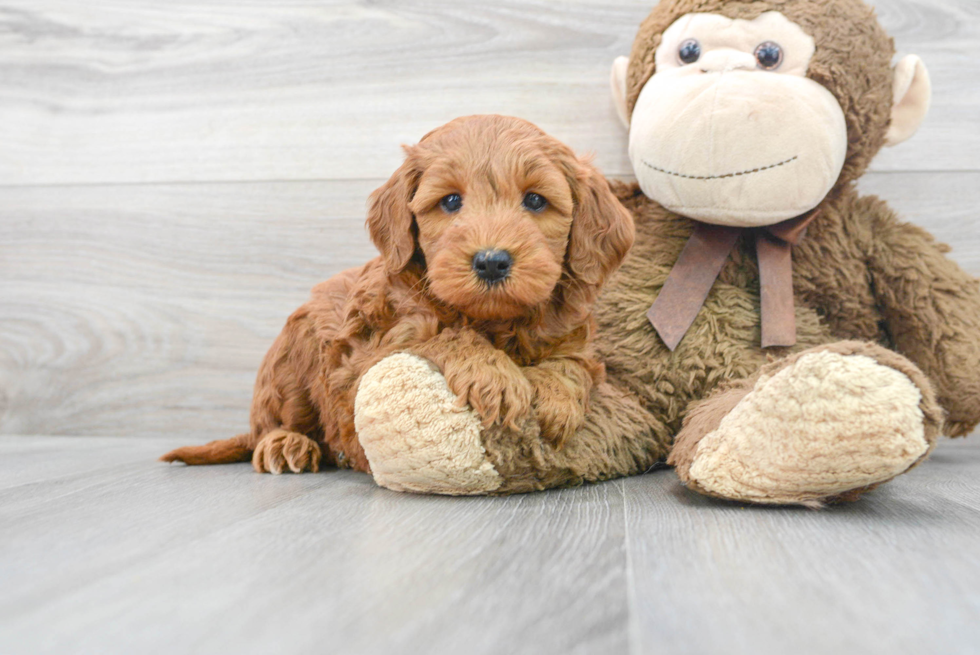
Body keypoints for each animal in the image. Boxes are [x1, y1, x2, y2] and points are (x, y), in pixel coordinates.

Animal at [161, 115, 636, 476]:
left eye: (536, 200)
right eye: (450, 202)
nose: (491, 262)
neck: (494, 321)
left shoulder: (578, 340)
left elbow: (574, 363)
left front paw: (556, 397)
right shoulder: (368, 357)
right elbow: (446, 336)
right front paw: (494, 375)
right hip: (290, 365)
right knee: (273, 424)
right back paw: (285, 445)